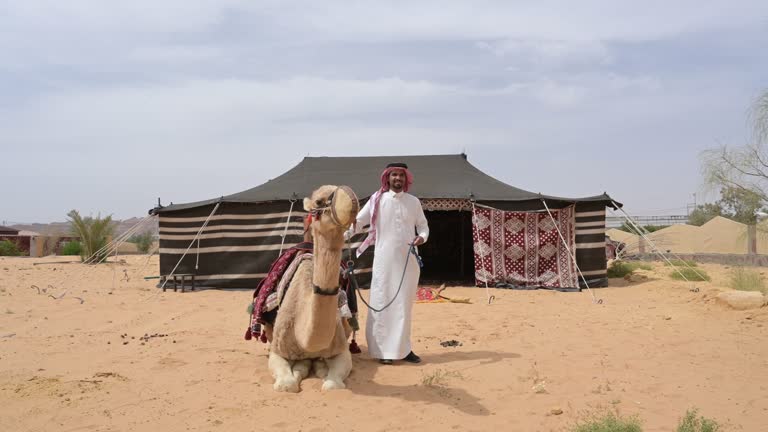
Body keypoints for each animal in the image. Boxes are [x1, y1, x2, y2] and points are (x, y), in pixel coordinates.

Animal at [264, 184, 360, 394]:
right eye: (319, 201)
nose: (352, 198)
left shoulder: (341, 349)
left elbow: (332, 385)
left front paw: (321, 369)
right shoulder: (278, 350)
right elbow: (287, 385)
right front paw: (297, 373)